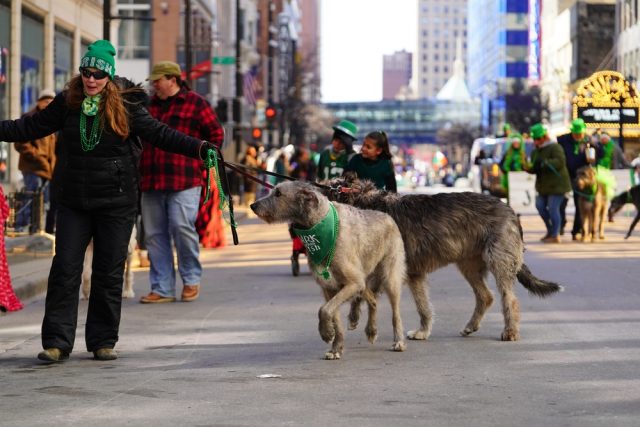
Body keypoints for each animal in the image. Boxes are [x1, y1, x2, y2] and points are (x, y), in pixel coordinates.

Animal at [249, 181, 404, 362]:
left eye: (278, 193)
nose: (253, 205)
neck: (319, 226)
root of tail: (388, 217)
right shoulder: (330, 287)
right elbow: (332, 315)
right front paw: (336, 347)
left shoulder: (351, 283)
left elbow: (323, 310)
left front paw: (326, 333)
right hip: (363, 278)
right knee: (372, 300)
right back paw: (371, 330)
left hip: (389, 276)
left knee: (395, 312)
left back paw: (399, 341)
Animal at [328, 175, 564, 344]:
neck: (364, 203)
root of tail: (510, 210)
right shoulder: (414, 273)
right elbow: (422, 305)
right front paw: (423, 332)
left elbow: (362, 292)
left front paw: (353, 318)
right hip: (469, 264)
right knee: (485, 296)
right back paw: (471, 326)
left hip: (498, 259)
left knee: (509, 299)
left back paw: (510, 331)